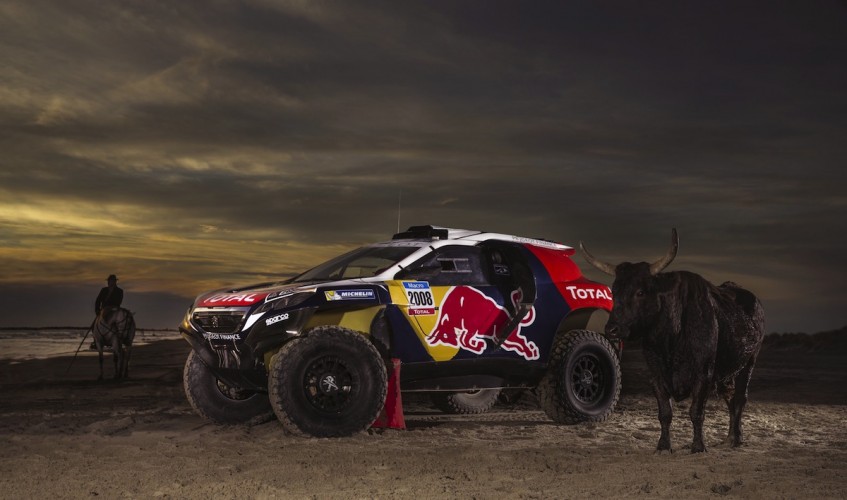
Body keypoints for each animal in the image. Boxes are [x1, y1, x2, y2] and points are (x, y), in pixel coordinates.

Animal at [580, 230, 764, 454]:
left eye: (640, 292)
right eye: (614, 292)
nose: (611, 329)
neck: (671, 341)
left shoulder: (704, 375)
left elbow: (696, 412)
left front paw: (698, 446)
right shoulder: (656, 376)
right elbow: (665, 413)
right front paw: (663, 446)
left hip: (749, 362)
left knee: (739, 398)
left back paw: (736, 438)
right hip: (727, 372)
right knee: (729, 397)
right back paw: (729, 437)